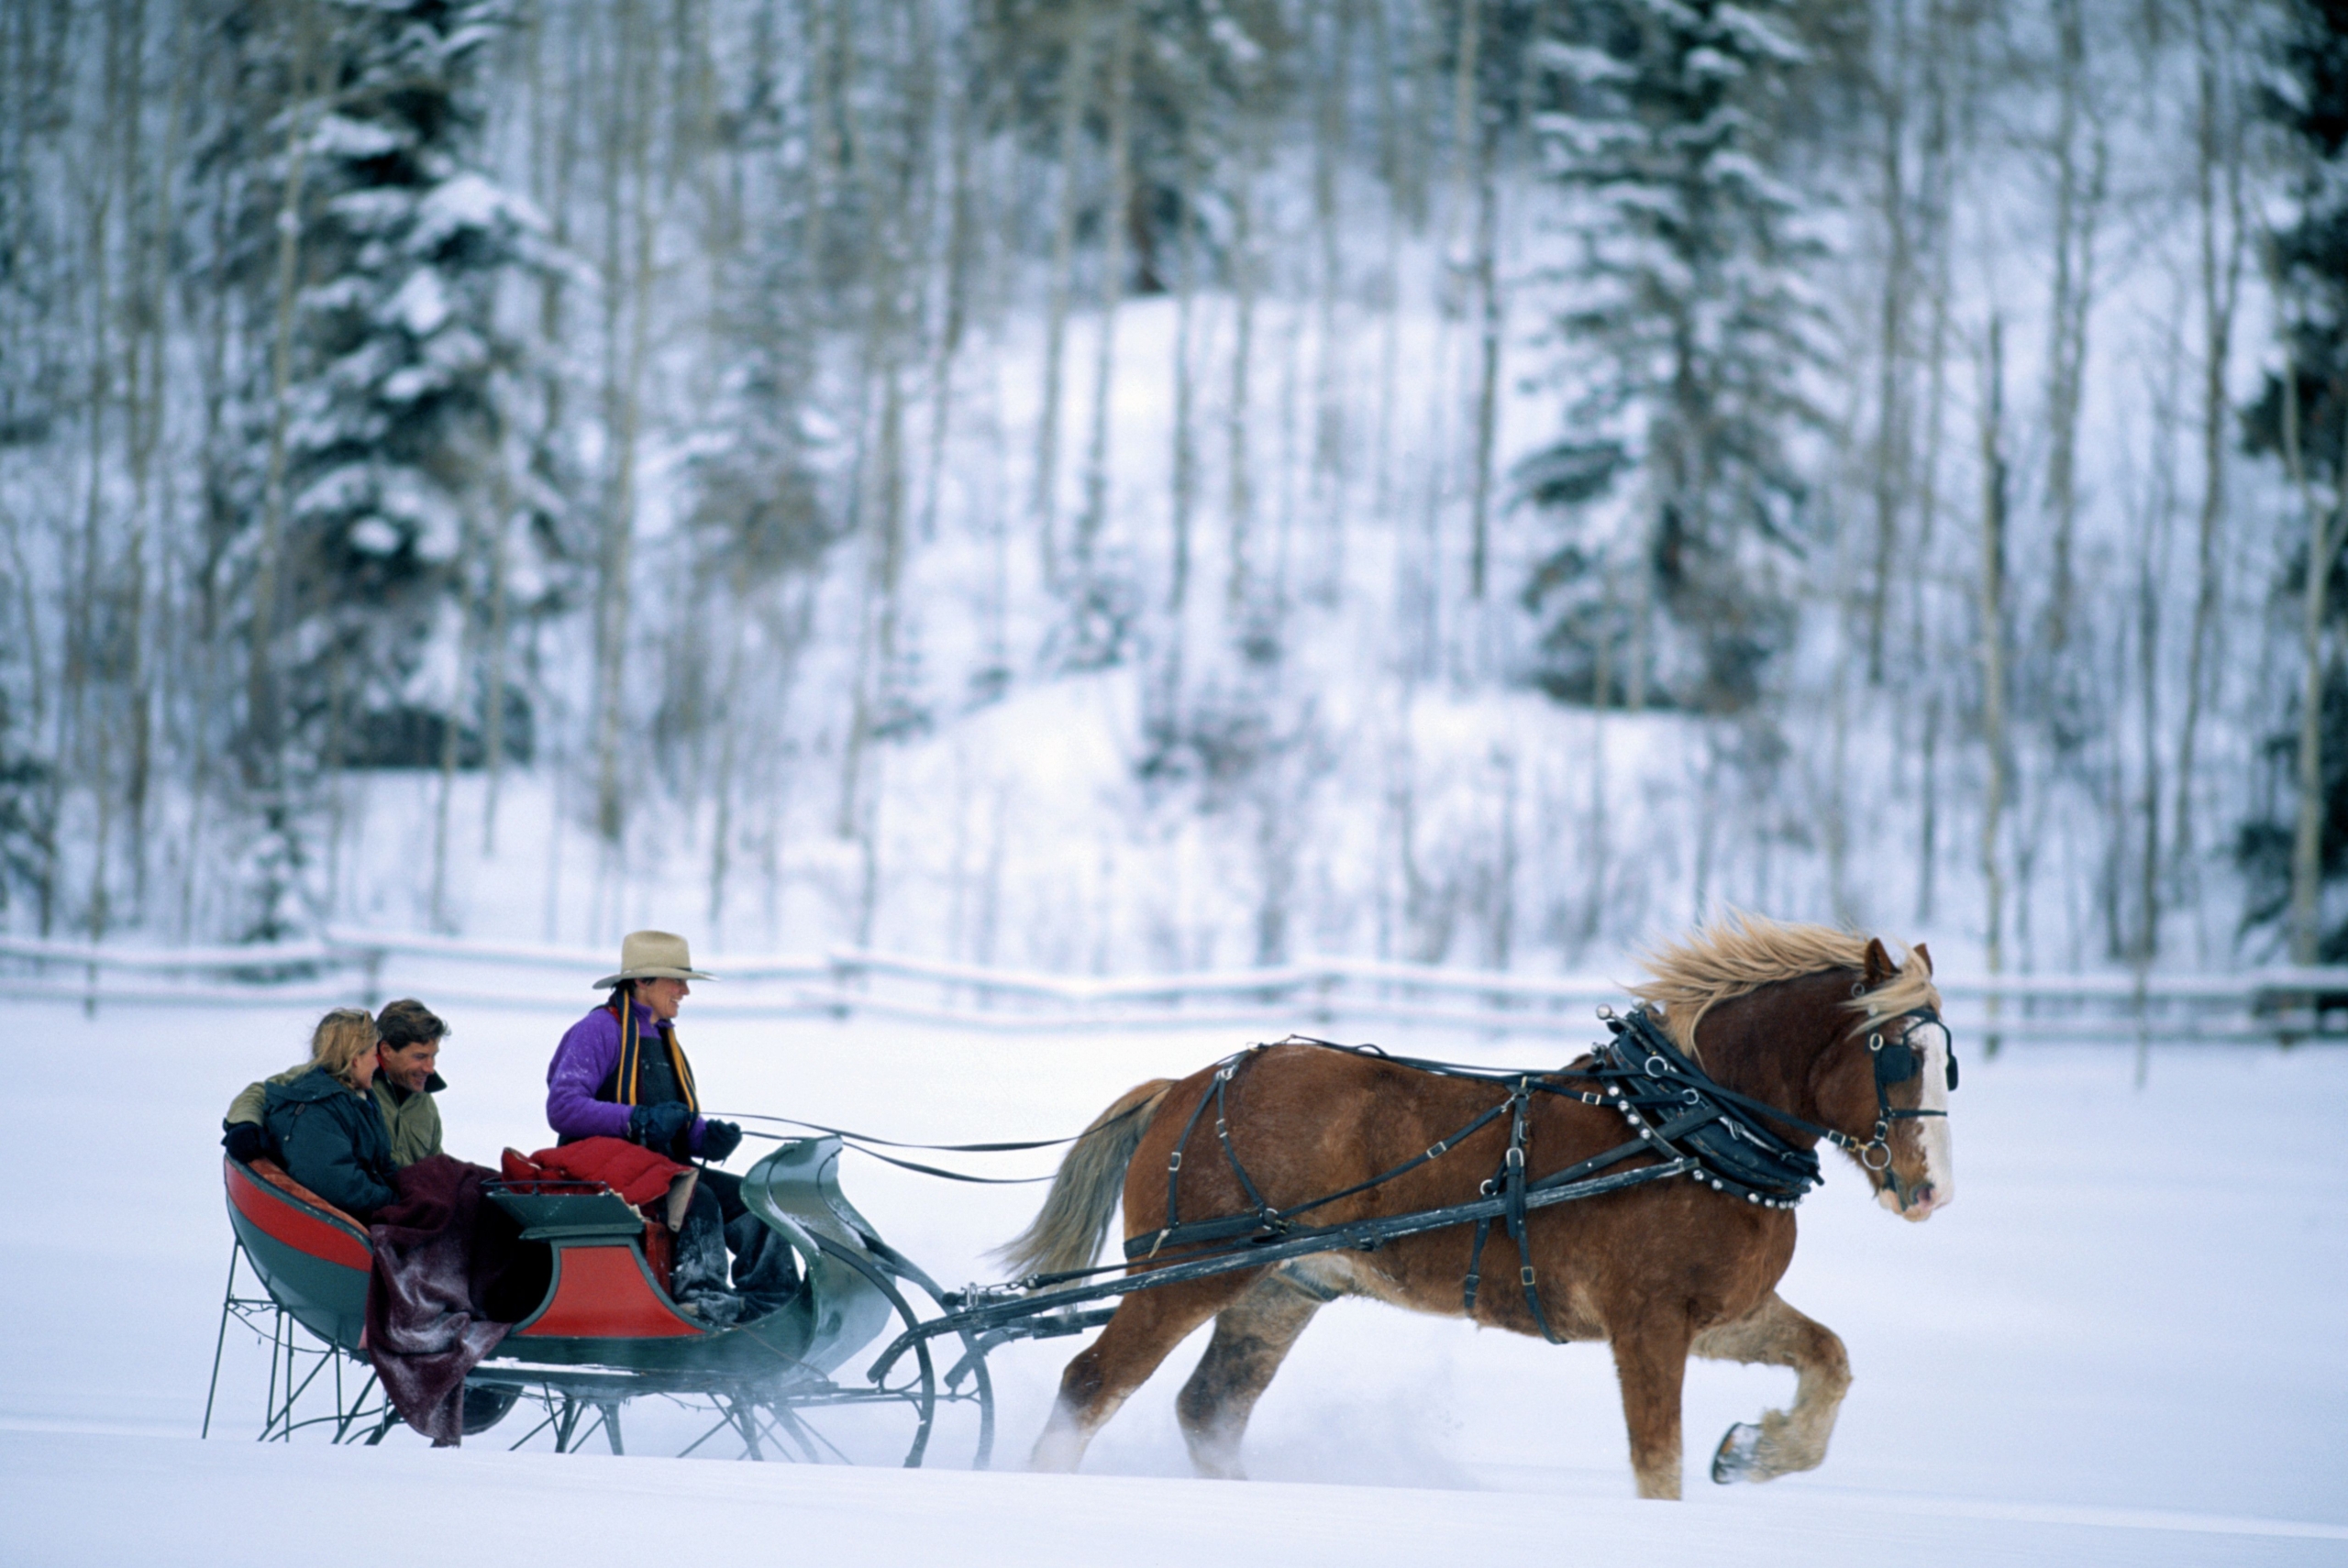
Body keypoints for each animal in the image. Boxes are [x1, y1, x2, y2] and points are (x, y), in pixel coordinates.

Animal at [1000, 911, 1953, 1502]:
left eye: (1949, 1062)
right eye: (1893, 1055)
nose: (1933, 1190)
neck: (1685, 1124)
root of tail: (1189, 1085)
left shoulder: (1720, 1313)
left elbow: (1828, 1359)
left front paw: (1757, 1450)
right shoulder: (1647, 1321)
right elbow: (1658, 1464)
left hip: (1278, 1284)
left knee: (1209, 1411)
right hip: (1187, 1270)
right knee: (1092, 1383)